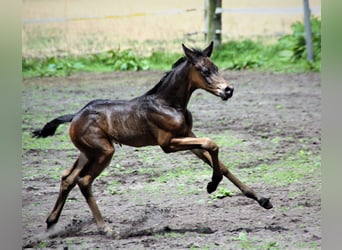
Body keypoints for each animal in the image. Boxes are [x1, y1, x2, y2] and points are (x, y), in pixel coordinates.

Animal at [32, 42, 272, 237]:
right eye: (204, 71)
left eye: (216, 68)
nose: (228, 90)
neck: (168, 104)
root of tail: (75, 115)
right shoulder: (168, 144)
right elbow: (212, 144)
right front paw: (212, 185)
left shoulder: (188, 137)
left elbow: (220, 162)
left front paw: (261, 200)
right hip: (104, 152)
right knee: (84, 181)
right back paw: (106, 229)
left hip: (88, 152)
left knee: (68, 178)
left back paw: (51, 223)